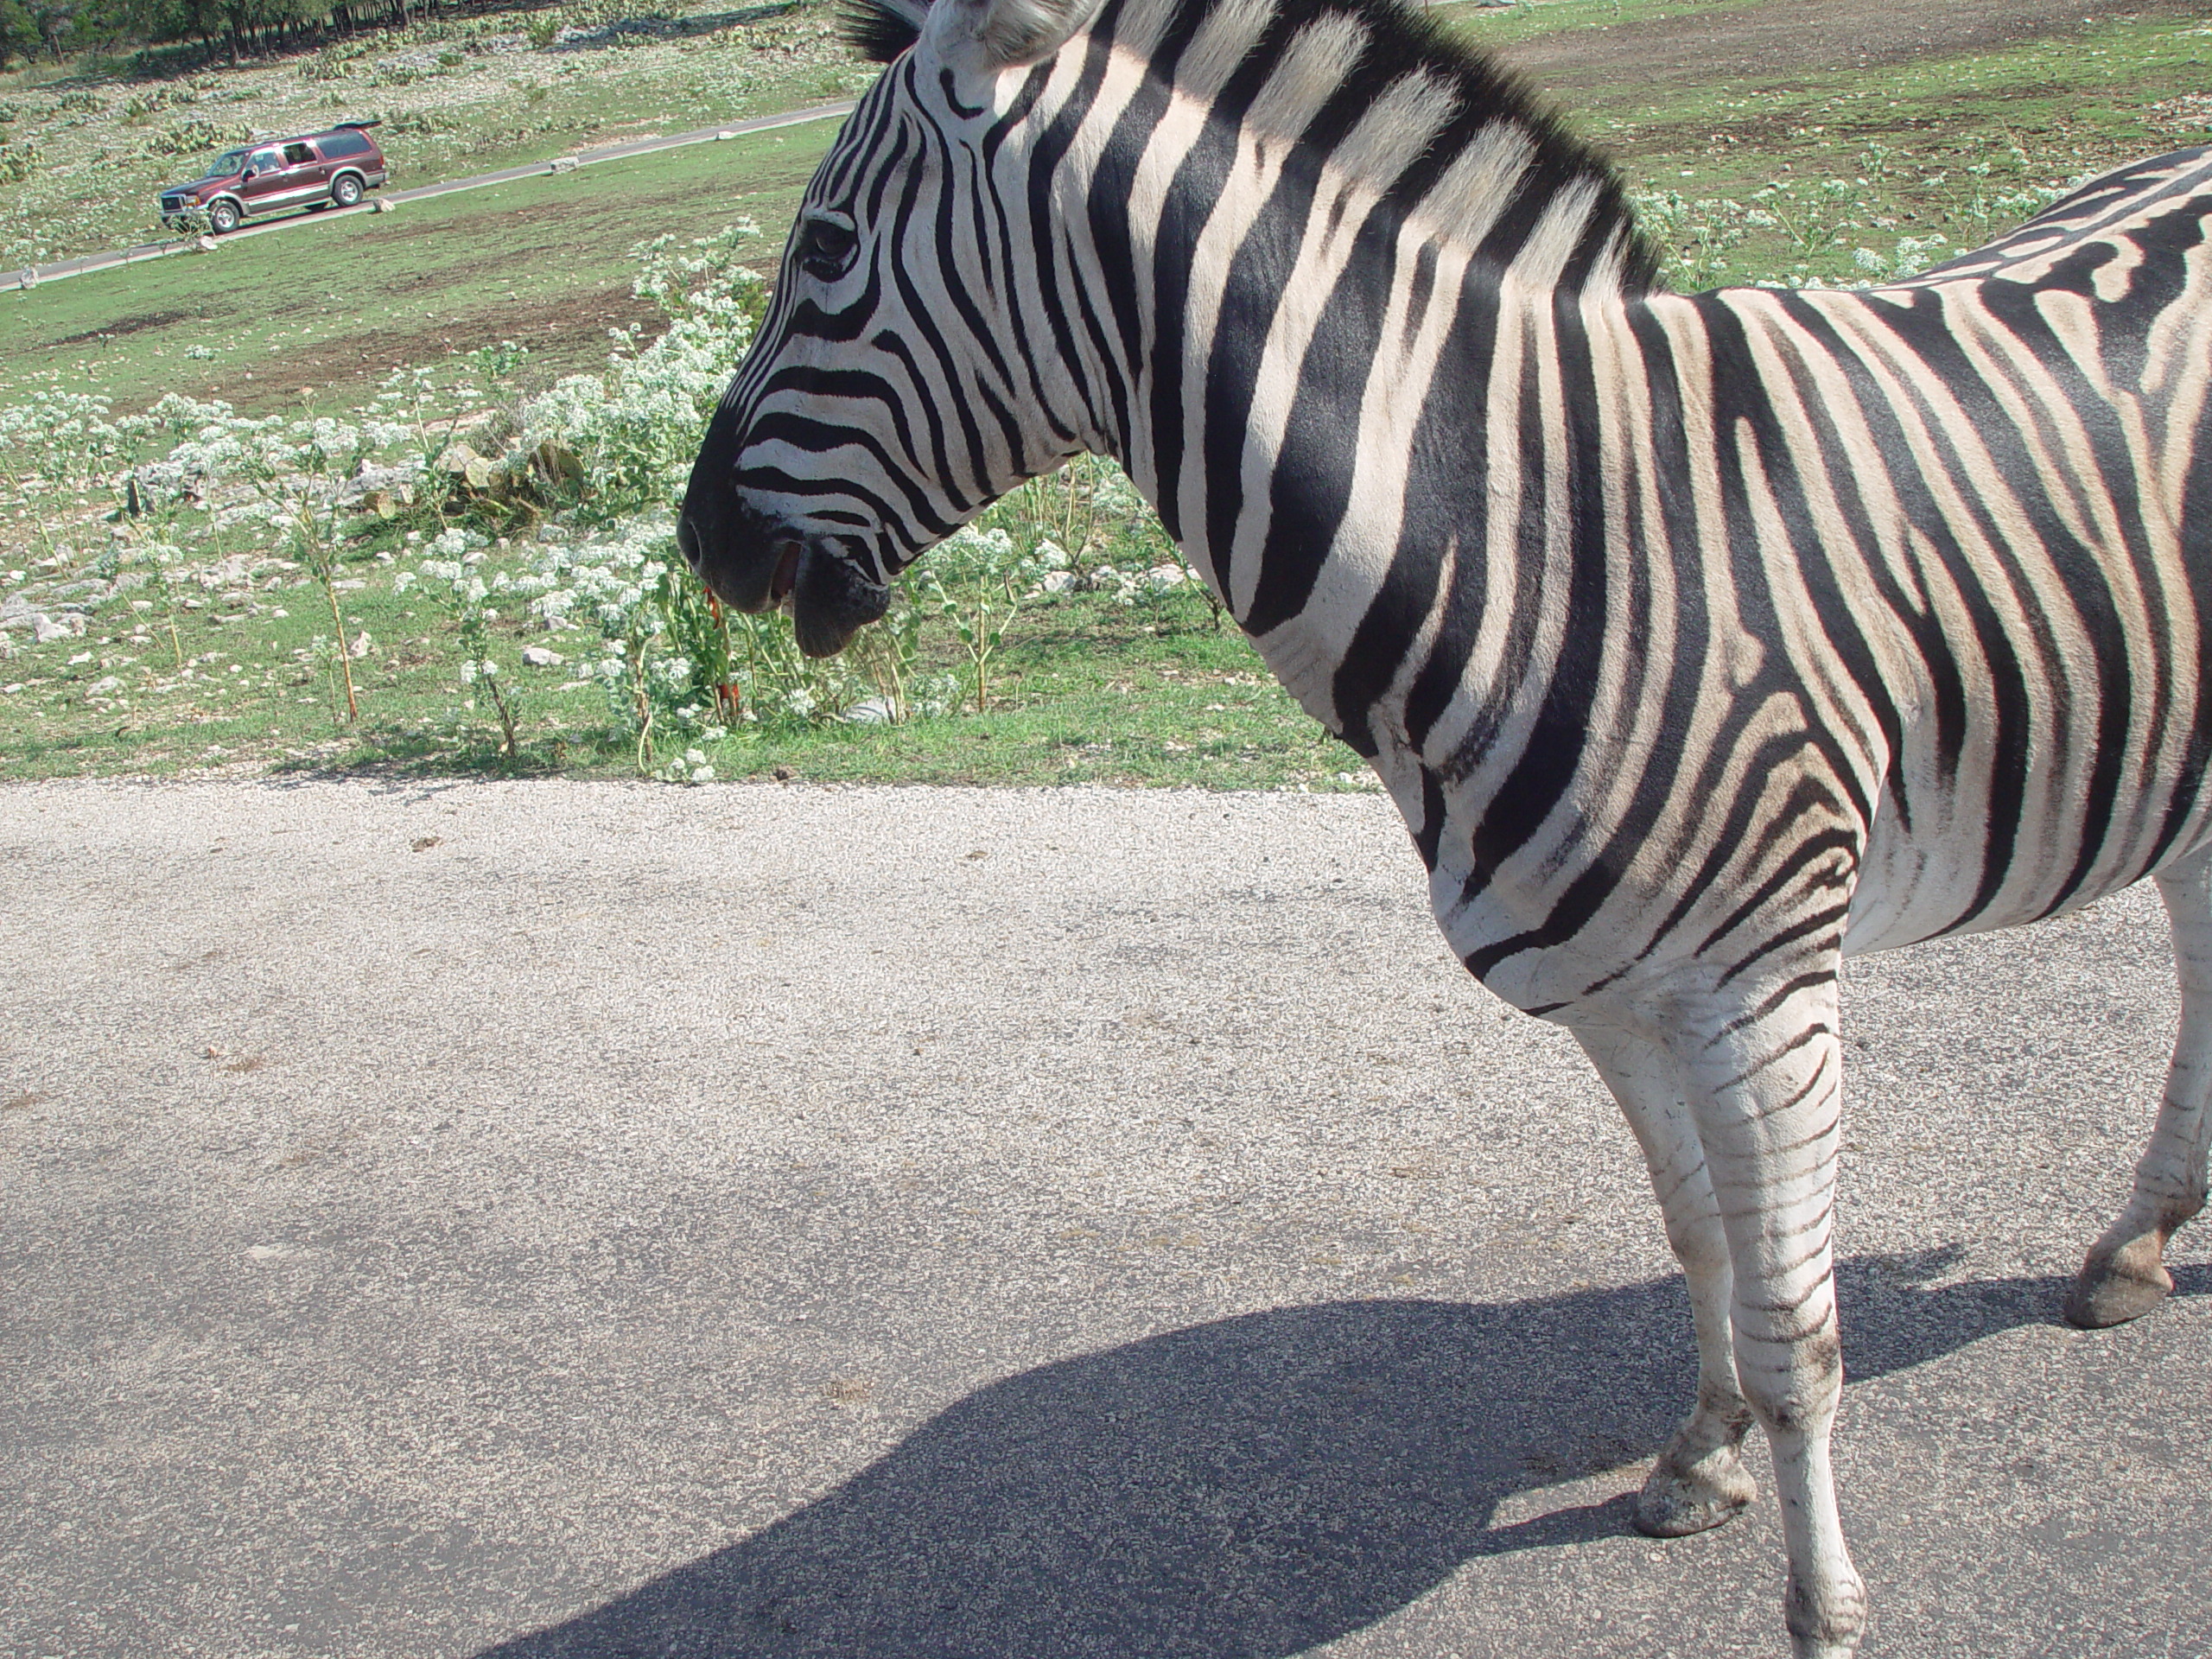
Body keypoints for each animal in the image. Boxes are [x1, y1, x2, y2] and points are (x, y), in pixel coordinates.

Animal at [672, 0, 2212, 1654]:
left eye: (825, 247)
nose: (699, 541)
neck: (1538, 535)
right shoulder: (1619, 994)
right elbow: (1700, 1238)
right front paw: (1700, 1456)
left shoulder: (1762, 985)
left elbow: (1798, 1327)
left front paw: (1823, 1608)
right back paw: (2138, 1243)